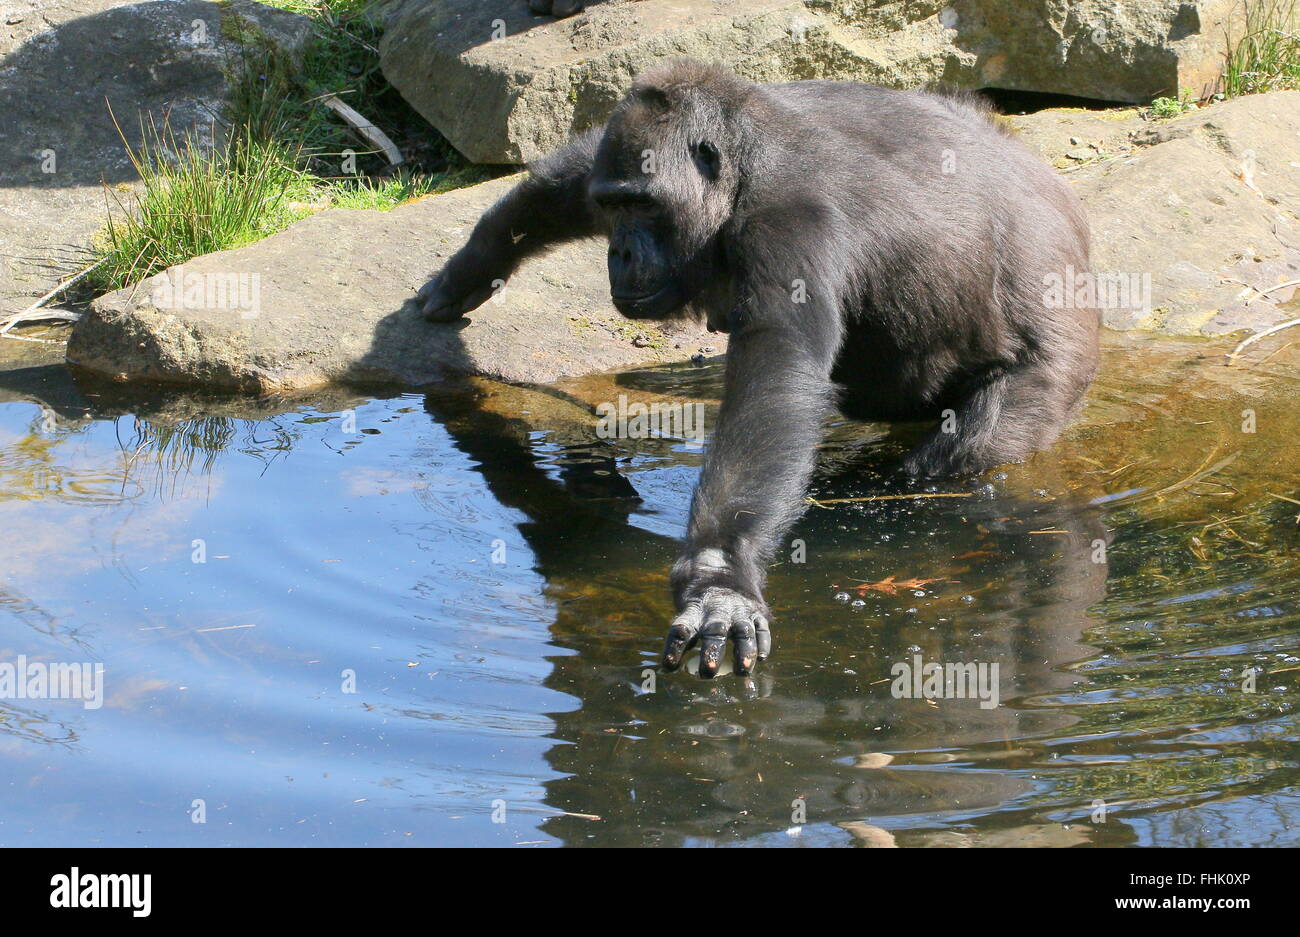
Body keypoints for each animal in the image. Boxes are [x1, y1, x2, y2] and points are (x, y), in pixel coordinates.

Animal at [416, 62, 1097, 680]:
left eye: (642, 205)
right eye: (612, 206)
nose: (619, 253)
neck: (745, 168)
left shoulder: (788, 229)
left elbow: (777, 376)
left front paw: (720, 583)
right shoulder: (614, 161)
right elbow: (561, 186)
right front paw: (471, 267)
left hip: (1054, 355)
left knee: (966, 451)